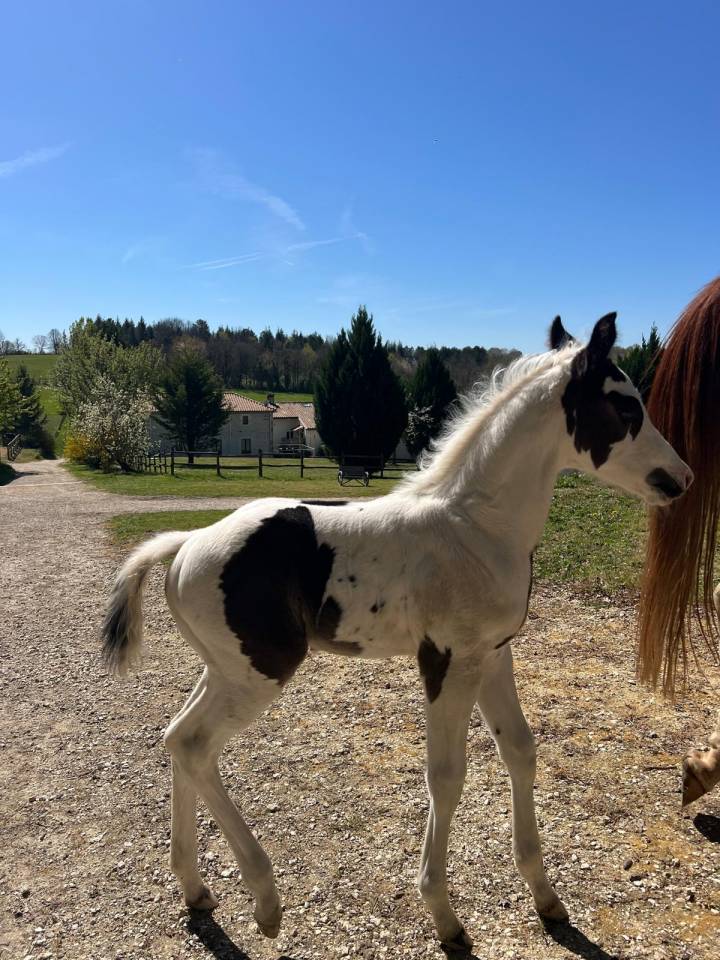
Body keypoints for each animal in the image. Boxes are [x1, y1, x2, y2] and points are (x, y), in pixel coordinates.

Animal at [102, 312, 691, 953]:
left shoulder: (493, 655)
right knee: (193, 745)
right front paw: (444, 915)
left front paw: (546, 897)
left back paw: (195, 889)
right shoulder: (446, 660)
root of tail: (184, 544)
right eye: (625, 405)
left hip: (225, 668)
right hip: (259, 673)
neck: (476, 527)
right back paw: (264, 899)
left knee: (177, 740)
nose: (680, 479)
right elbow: (447, 775)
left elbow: (520, 750)